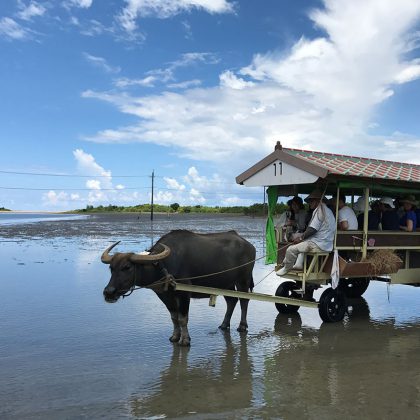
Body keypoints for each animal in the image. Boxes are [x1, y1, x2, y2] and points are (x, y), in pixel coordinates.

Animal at [101, 230, 256, 344]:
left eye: (127, 267)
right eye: (111, 268)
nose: (108, 292)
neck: (162, 265)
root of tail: (249, 245)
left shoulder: (184, 293)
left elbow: (183, 318)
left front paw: (185, 340)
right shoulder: (165, 296)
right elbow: (174, 317)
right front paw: (175, 337)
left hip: (243, 280)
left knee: (244, 301)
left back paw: (242, 326)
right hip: (226, 283)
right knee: (232, 301)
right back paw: (224, 325)